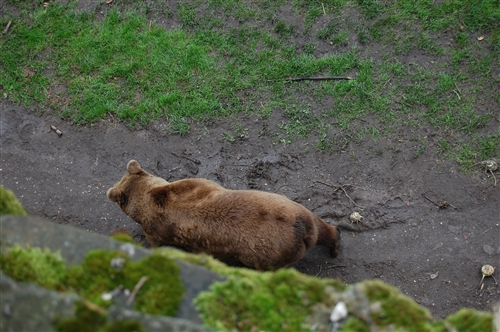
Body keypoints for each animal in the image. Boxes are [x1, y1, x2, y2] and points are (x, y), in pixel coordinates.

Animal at [105, 160, 340, 272]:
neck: (150, 196)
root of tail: (298, 229)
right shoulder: (195, 186)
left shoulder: (156, 228)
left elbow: (159, 243)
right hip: (292, 207)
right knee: (322, 228)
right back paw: (335, 244)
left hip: (266, 254)